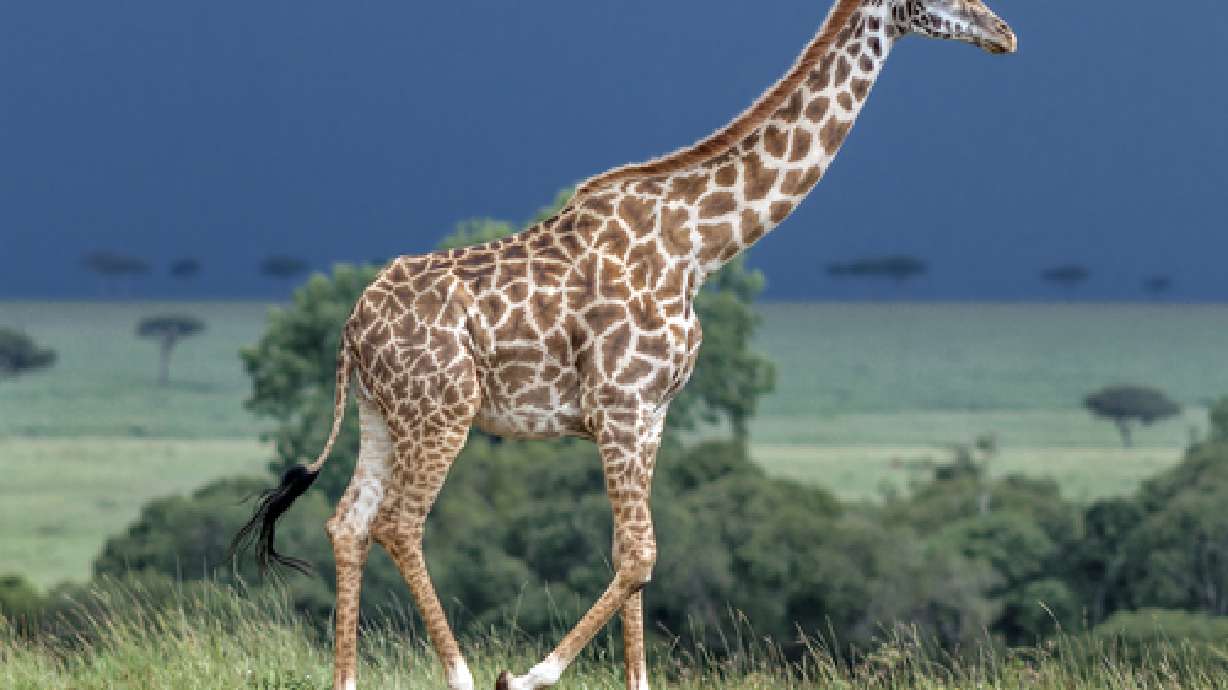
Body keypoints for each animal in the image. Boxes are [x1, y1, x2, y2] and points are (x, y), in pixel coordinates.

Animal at [232, 1, 1016, 688]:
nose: (1004, 34)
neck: (700, 247)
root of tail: (351, 329)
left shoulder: (652, 412)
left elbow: (631, 558)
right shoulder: (621, 403)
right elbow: (640, 556)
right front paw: (526, 675)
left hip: (383, 413)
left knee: (349, 523)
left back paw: (347, 680)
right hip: (441, 412)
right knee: (398, 523)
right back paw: (462, 675)